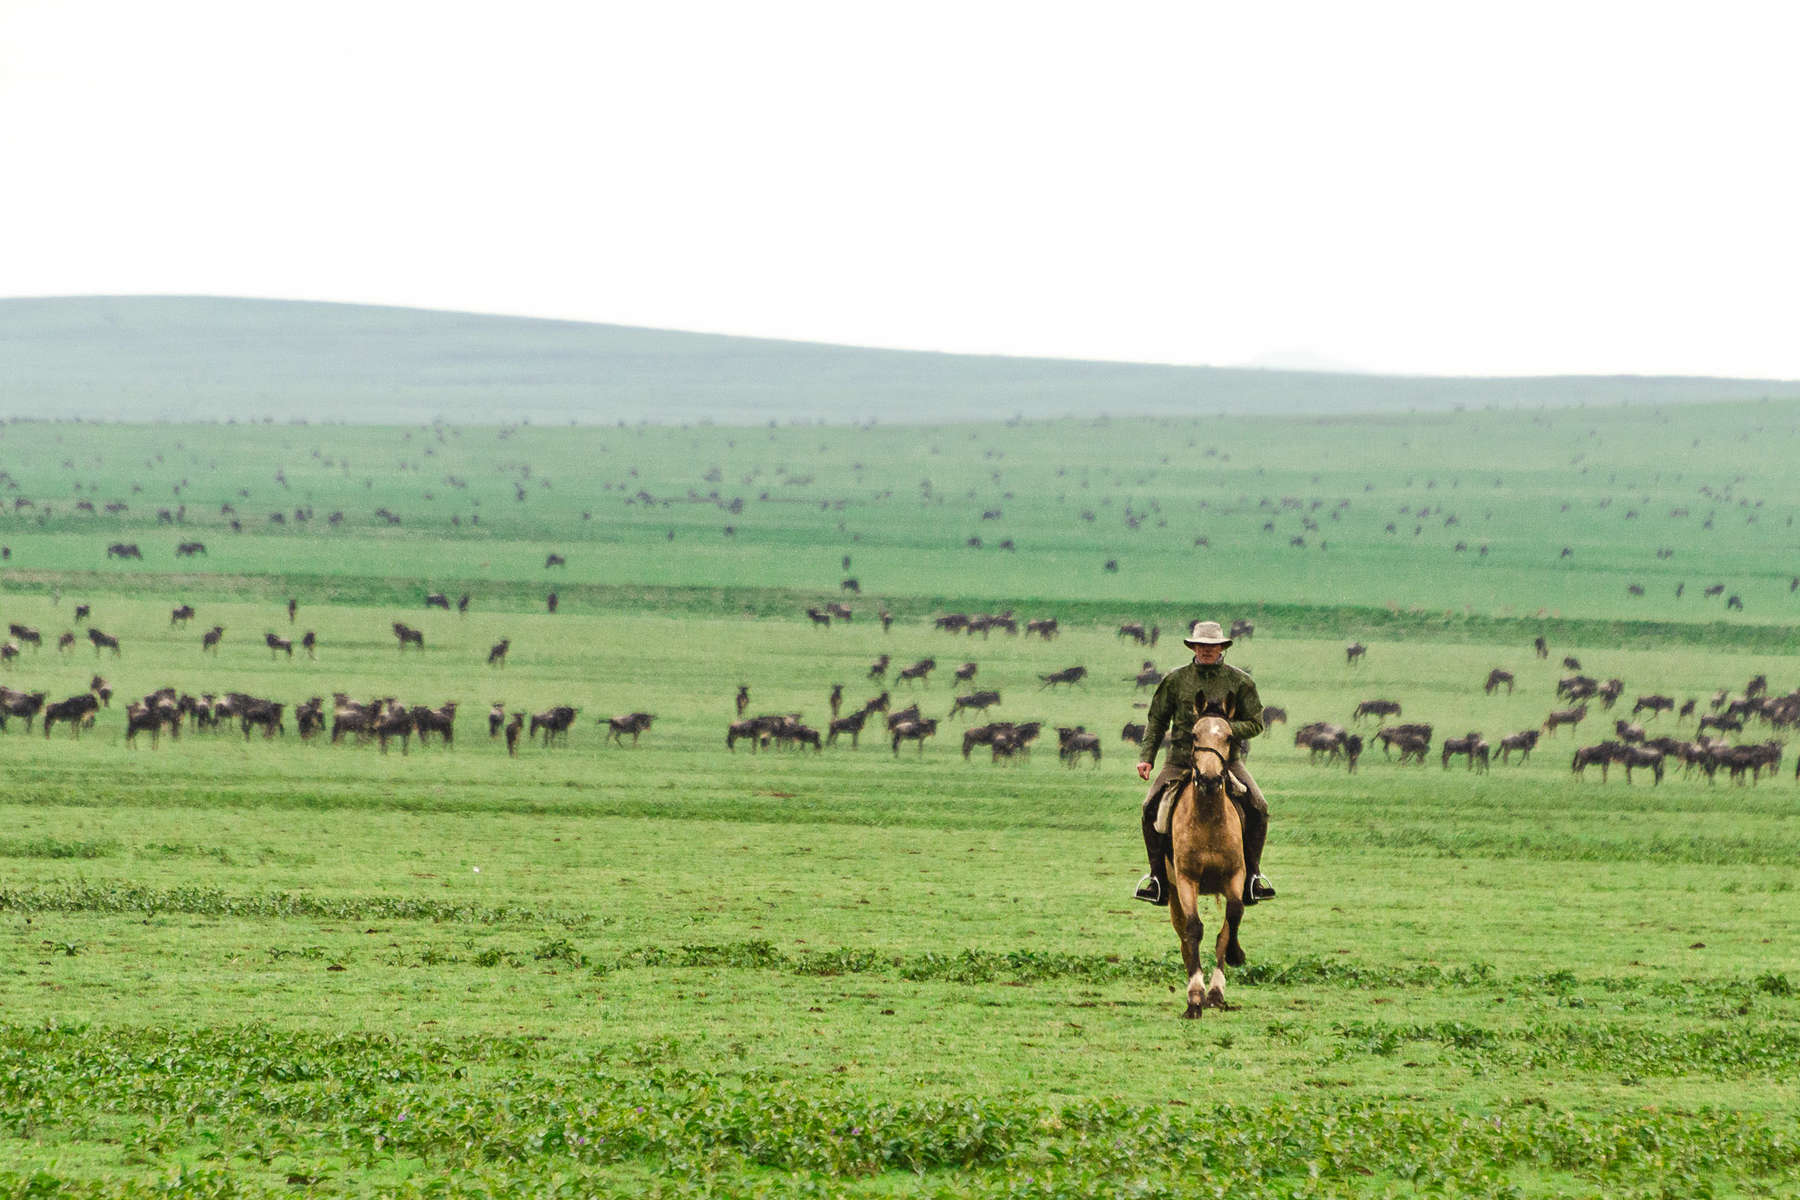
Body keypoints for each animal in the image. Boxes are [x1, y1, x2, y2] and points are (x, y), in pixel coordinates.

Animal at [1159, 698, 1245, 1021]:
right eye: (1194, 735)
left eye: (1229, 737)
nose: (1209, 779)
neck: (1208, 817)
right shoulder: (1187, 879)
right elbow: (1194, 929)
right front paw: (1195, 999)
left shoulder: (1236, 876)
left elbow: (1232, 919)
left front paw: (1219, 986)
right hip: (1172, 892)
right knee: (1184, 936)